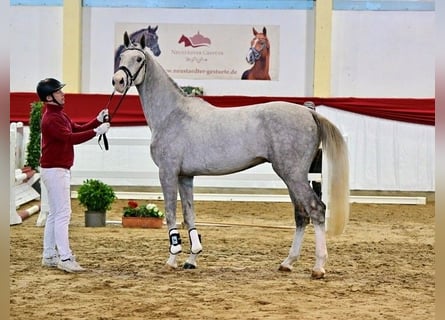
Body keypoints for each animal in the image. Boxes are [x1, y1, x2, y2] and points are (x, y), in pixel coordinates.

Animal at [112, 31, 348, 278]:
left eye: (139, 59)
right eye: (122, 56)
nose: (118, 81)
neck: (173, 113)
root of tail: (309, 113)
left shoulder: (167, 172)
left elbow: (170, 214)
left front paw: (172, 260)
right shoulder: (185, 176)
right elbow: (189, 215)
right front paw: (191, 258)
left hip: (293, 174)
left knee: (316, 210)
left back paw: (318, 267)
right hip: (292, 176)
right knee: (301, 214)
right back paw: (288, 262)